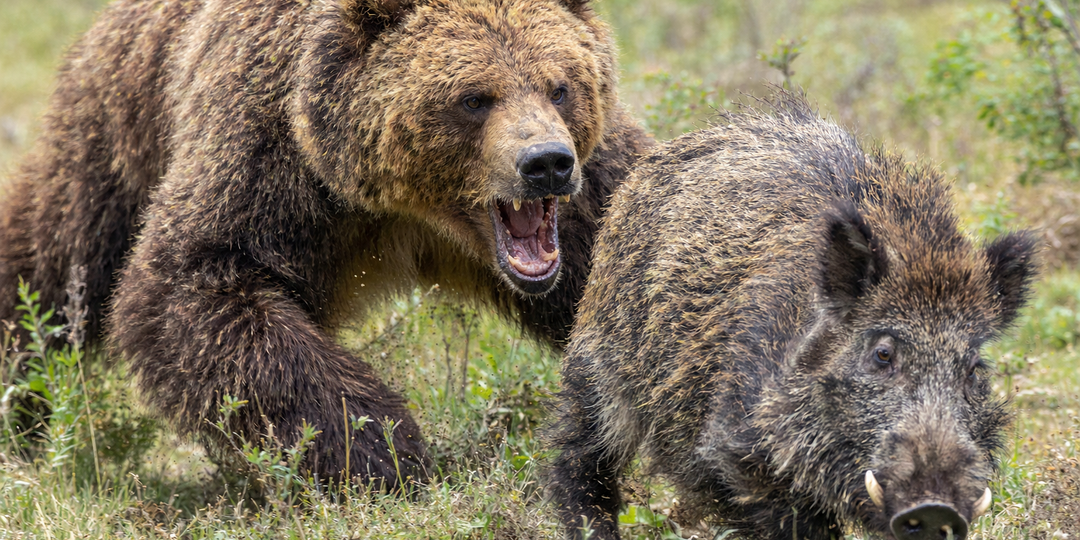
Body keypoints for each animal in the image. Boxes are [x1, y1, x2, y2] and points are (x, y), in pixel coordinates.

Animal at [0, 0, 652, 486]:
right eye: (474, 97)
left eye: (559, 86)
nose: (545, 163)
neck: (409, 208)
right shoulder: (265, 156)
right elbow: (195, 288)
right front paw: (385, 451)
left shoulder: (590, 198)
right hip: (115, 135)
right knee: (52, 263)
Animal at [547, 94, 1036, 540]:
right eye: (882, 353)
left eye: (974, 370)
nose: (937, 508)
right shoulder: (738, 448)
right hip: (597, 362)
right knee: (578, 457)